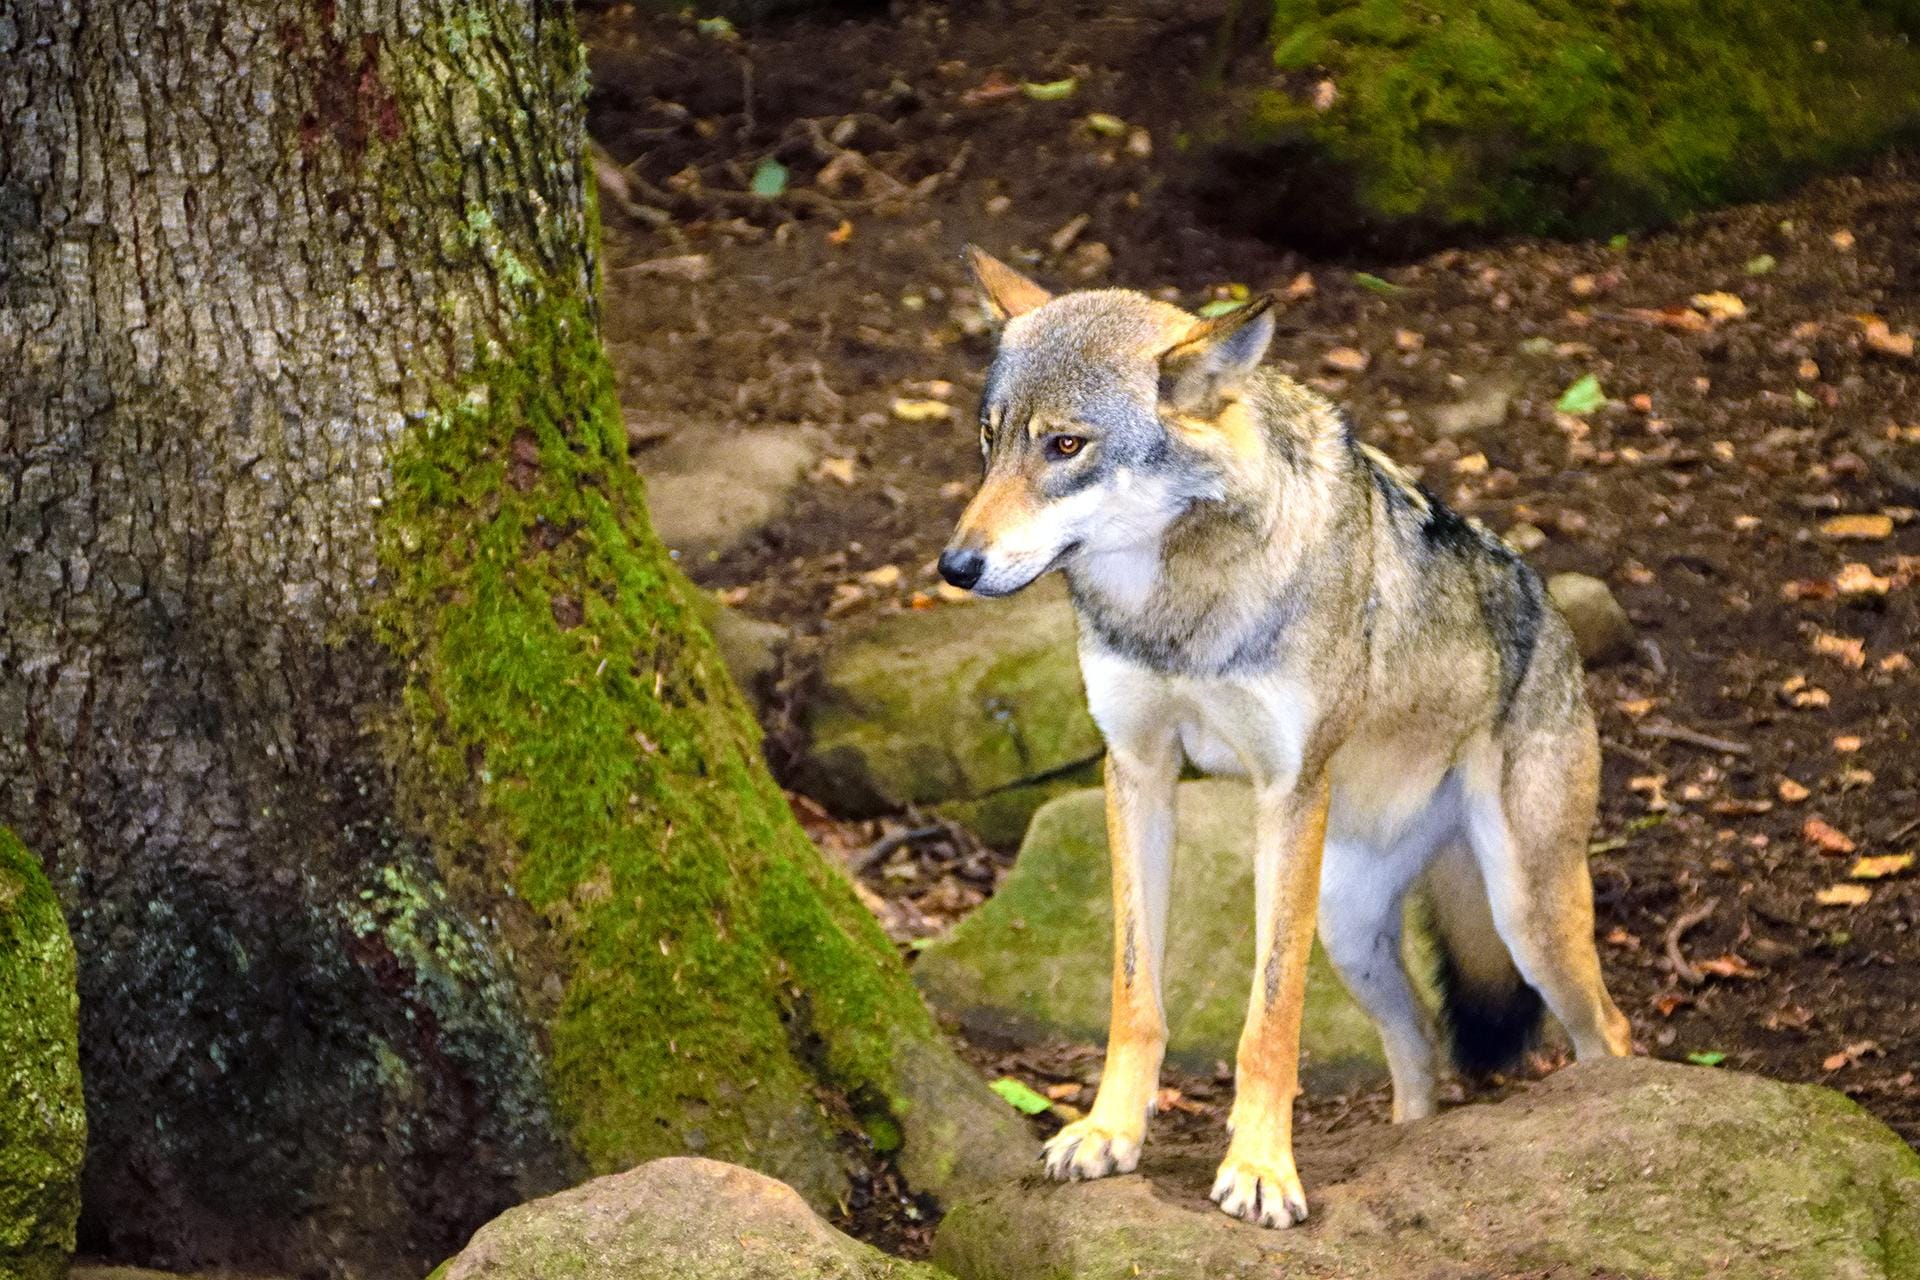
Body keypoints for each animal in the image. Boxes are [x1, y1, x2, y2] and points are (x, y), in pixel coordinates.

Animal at [938, 247, 1633, 1229]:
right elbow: (1133, 993)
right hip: (1349, 927)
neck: (1176, 602)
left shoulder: (1289, 790)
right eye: (988, 438)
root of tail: (1557, 619)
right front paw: (1110, 1133)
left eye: (1066, 447)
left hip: (1524, 913)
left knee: (1607, 1030)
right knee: (1421, 1049)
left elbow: (1269, 1018)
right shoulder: (1136, 771)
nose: (953, 567)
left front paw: (1263, 1171)